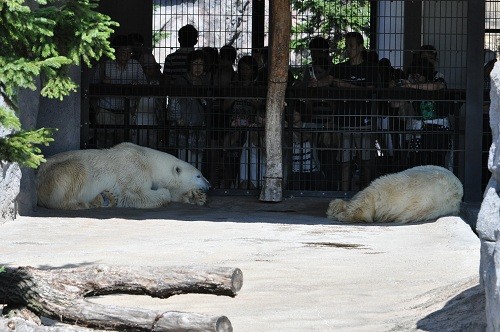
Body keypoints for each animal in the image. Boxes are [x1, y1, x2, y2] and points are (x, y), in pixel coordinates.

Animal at [36, 141, 209, 209]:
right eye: (198, 175)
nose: (209, 184)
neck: (150, 162)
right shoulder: (133, 169)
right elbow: (134, 195)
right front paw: (163, 192)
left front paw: (195, 197)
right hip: (58, 173)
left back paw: (104, 198)